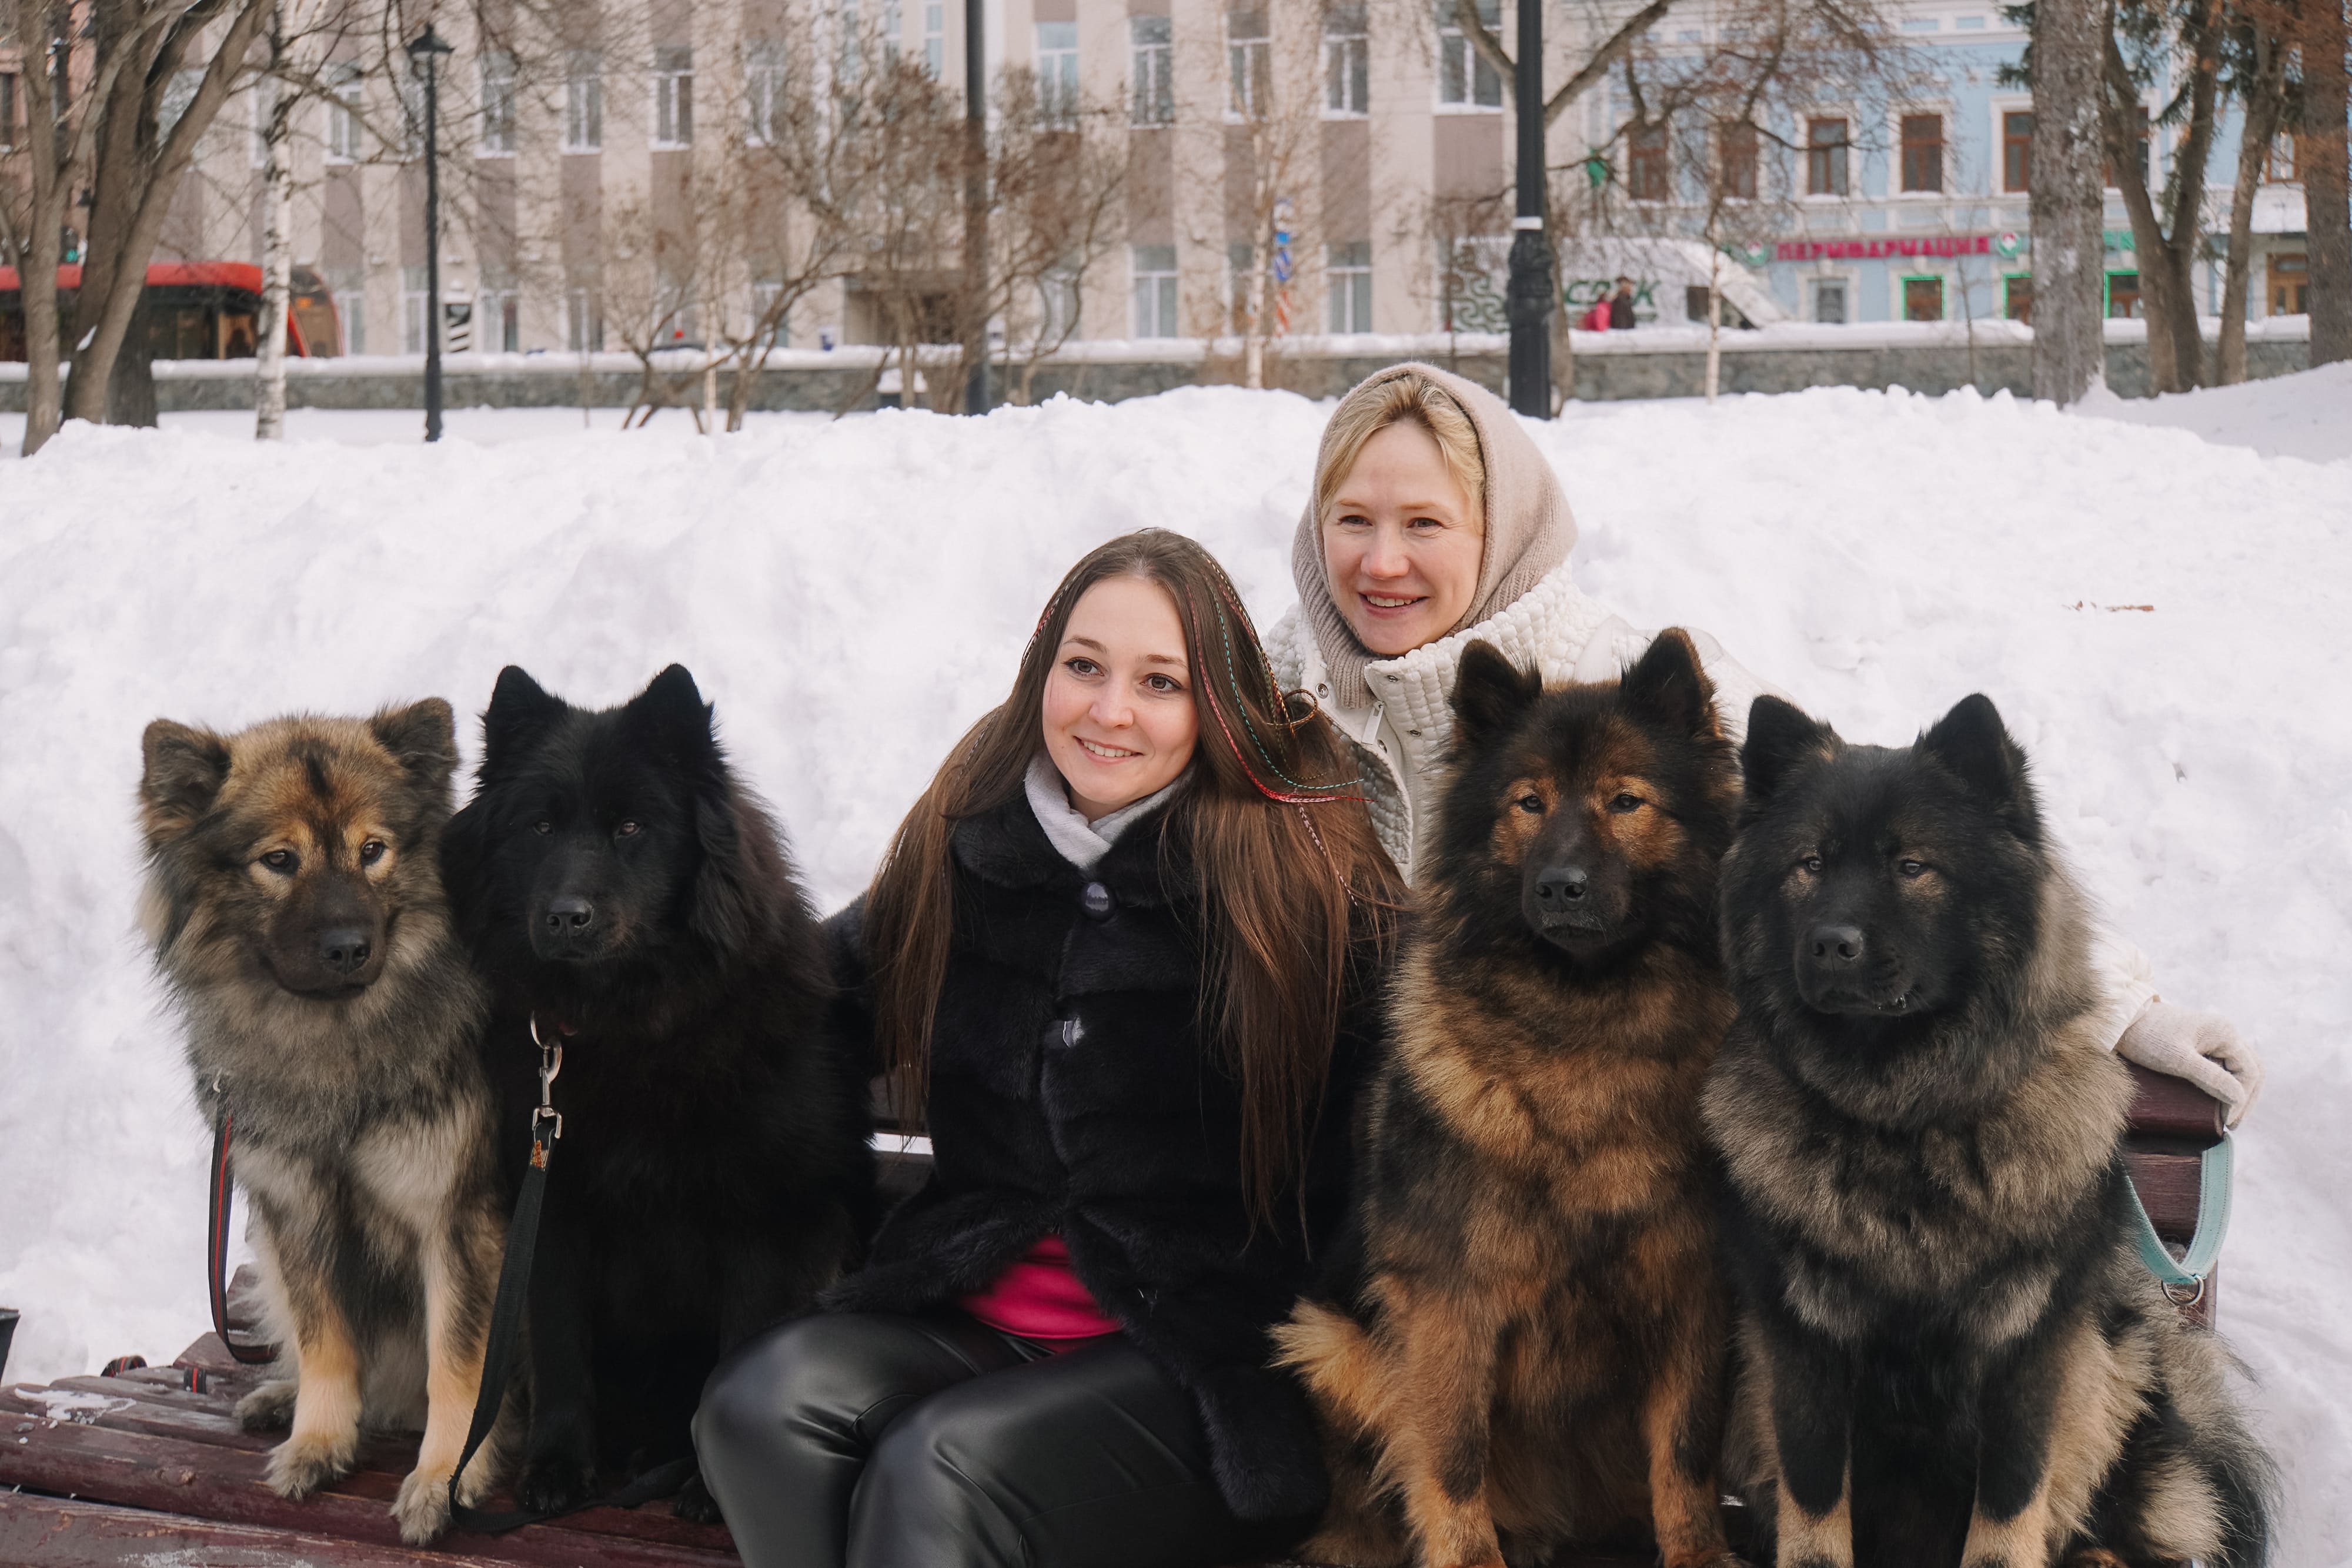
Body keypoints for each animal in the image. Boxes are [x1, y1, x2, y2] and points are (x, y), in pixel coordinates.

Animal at [141, 705, 510, 1542]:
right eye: (280, 860)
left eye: (373, 851)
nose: (349, 948)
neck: (337, 1047)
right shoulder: (298, 1210)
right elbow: (326, 1341)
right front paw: (318, 1439)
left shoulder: (456, 1222)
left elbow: (458, 1364)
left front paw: (444, 1477)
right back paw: (281, 1396)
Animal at [442, 663, 875, 1523]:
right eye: (540, 827)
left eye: (632, 827)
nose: (565, 917)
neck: (632, 1028)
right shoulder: (552, 1207)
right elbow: (562, 1350)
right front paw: (559, 1466)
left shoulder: (773, 1222)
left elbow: (734, 1358)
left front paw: (712, 1489)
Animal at [1279, 630, 1759, 1568]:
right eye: (1529, 803)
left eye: (1625, 800)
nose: (1561, 885)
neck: (1584, 1028)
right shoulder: (1448, 1303)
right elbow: (1452, 1459)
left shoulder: (1691, 1288)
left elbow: (1685, 1452)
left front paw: (1697, 1553)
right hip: (1331, 1340)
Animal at [1703, 696, 2267, 1568]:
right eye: (1809, 864)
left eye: (1912, 866)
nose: (1831, 943)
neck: (1902, 1125)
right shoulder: (1799, 1352)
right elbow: (1815, 1512)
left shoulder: (2030, 1355)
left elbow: (2008, 1514)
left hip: (2117, 1361)